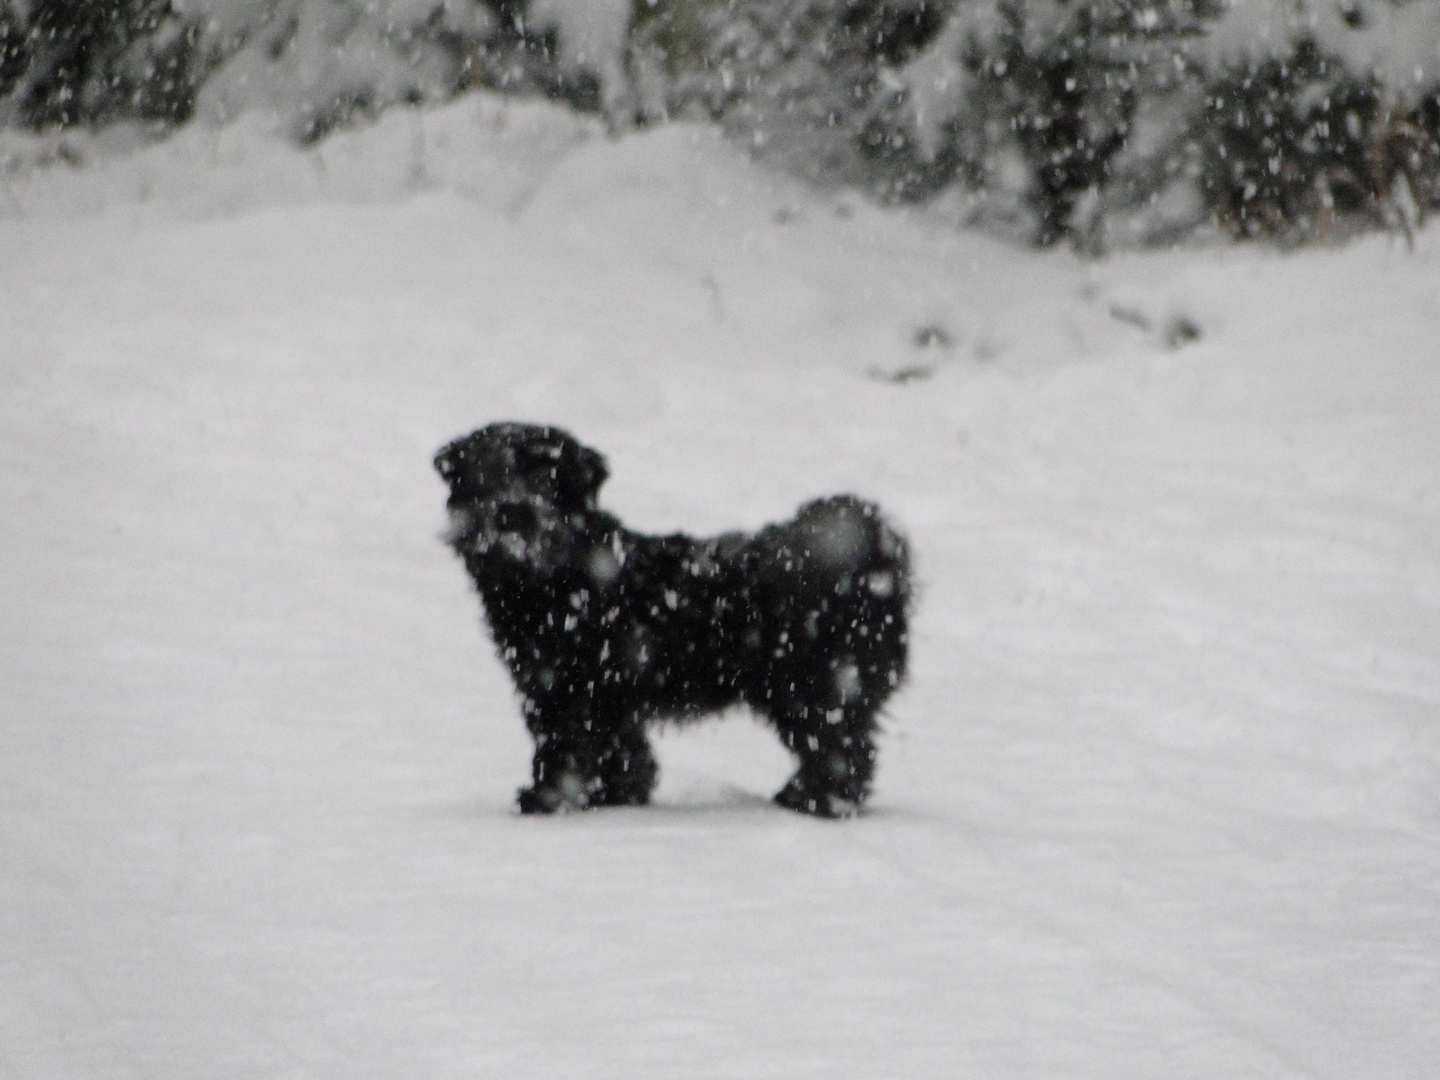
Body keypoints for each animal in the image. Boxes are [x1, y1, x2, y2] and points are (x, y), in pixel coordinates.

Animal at [434, 423, 910, 817]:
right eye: (486, 475)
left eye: (546, 476)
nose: (513, 513)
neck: (558, 576)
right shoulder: (606, 698)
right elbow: (622, 751)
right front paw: (618, 795)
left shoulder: (567, 689)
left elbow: (563, 749)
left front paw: (547, 800)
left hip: (811, 687)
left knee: (840, 750)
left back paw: (817, 801)